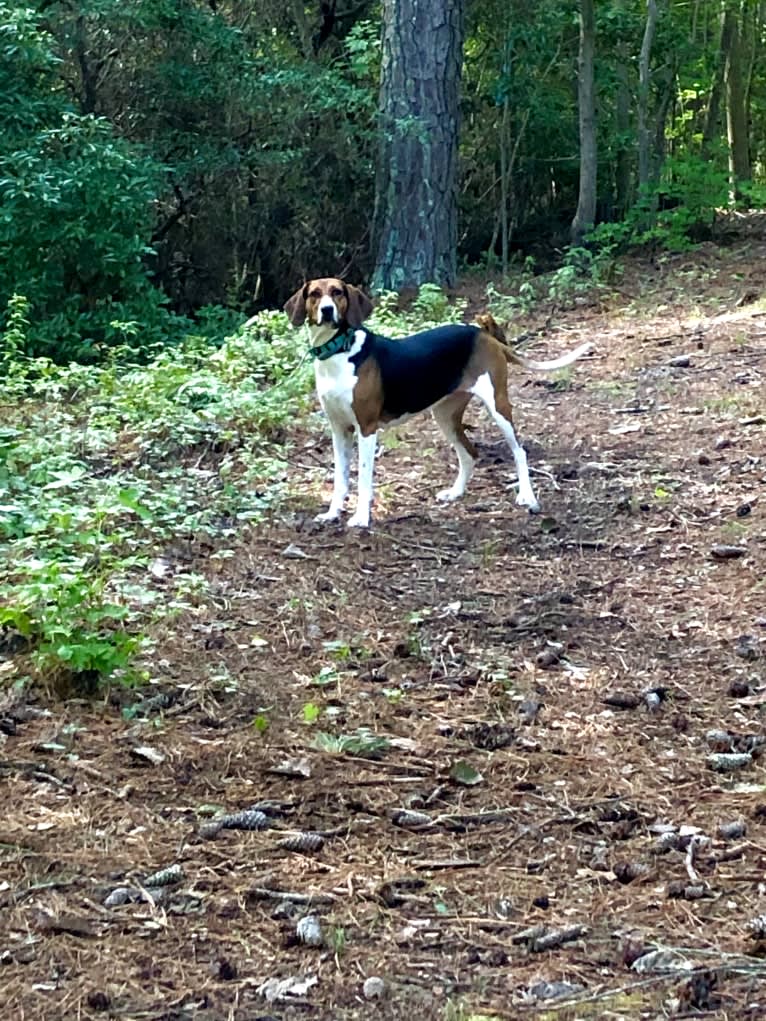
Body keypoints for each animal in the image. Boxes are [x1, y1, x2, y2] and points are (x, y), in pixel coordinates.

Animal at [285, 279, 592, 530]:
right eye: (314, 294)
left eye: (337, 292)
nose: (327, 310)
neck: (339, 351)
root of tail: (484, 335)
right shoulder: (339, 430)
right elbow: (340, 478)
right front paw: (332, 513)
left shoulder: (367, 428)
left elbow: (362, 478)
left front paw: (361, 518)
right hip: (444, 415)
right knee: (469, 454)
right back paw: (456, 492)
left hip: (498, 407)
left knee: (520, 452)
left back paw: (527, 496)